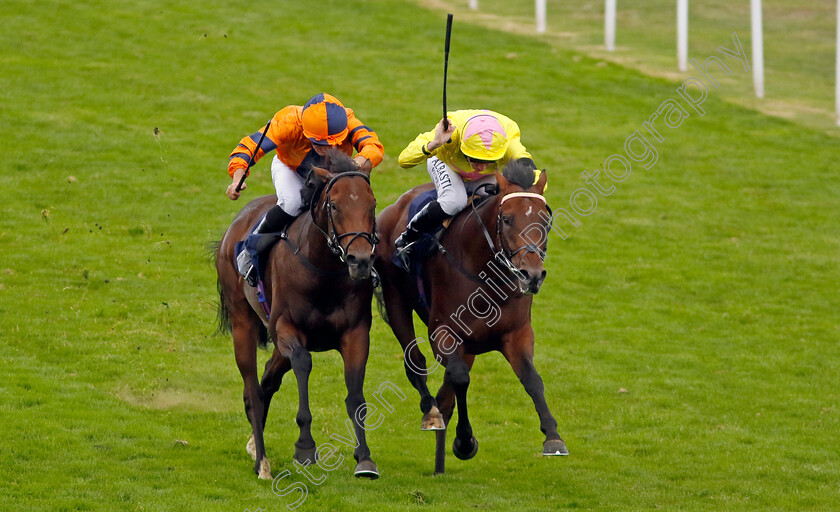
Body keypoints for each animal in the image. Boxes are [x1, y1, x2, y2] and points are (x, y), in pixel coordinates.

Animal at [220, 149, 384, 480]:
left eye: (372, 204)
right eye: (334, 205)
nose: (360, 260)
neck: (324, 271)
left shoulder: (356, 333)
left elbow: (356, 395)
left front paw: (364, 457)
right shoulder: (287, 328)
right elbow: (303, 363)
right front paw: (305, 447)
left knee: (266, 381)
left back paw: (255, 446)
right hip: (243, 322)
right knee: (252, 390)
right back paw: (262, 462)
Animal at [376, 162, 568, 474]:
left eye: (545, 220)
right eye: (507, 219)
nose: (532, 275)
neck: (486, 275)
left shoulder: (517, 334)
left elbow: (532, 379)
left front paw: (553, 436)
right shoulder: (443, 332)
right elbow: (459, 379)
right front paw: (464, 442)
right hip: (395, 300)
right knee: (415, 363)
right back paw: (430, 412)